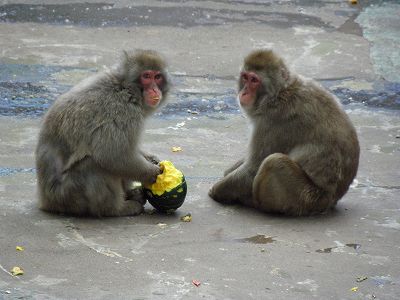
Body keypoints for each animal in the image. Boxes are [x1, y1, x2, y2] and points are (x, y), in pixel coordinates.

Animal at [209, 49, 360, 216]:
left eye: (254, 80)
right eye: (245, 77)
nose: (244, 92)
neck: (279, 94)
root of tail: (331, 200)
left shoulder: (274, 120)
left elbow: (253, 168)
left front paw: (217, 190)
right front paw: (230, 170)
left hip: (306, 199)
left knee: (274, 161)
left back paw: (255, 203)